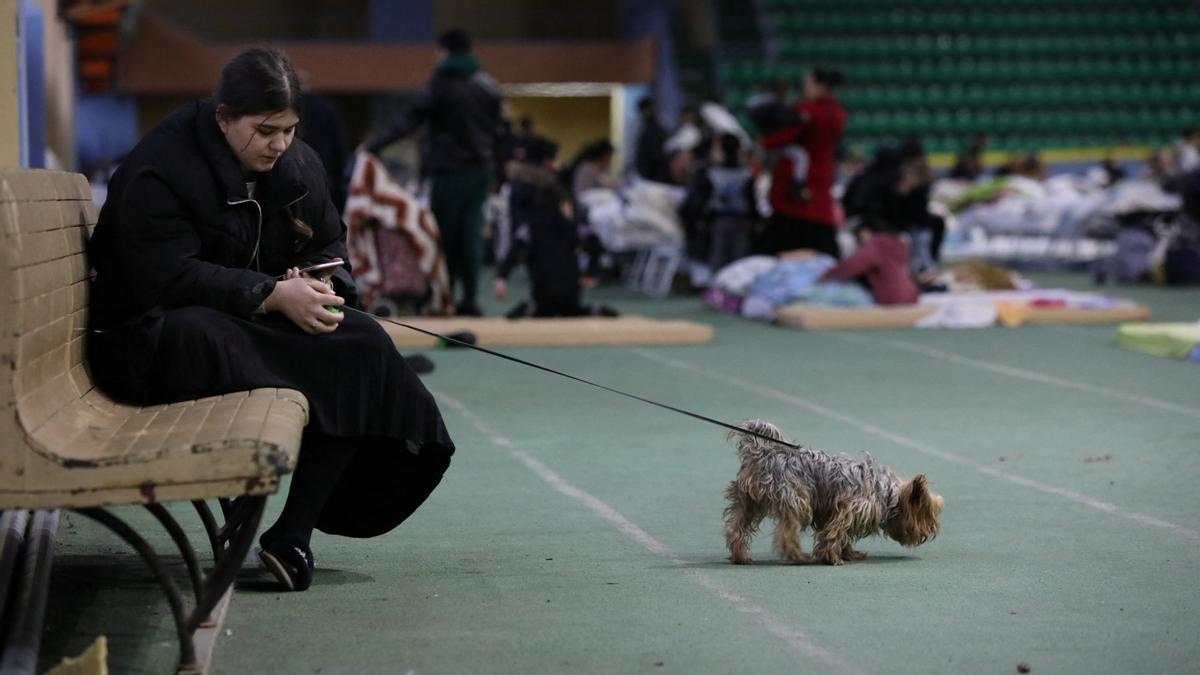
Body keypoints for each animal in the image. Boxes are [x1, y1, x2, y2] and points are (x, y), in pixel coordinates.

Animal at [720, 420, 945, 562]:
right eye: (928, 514)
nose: (933, 531)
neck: (886, 493)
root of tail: (765, 455)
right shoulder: (849, 509)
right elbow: (836, 533)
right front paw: (834, 558)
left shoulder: (829, 512)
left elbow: (838, 535)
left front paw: (848, 553)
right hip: (797, 501)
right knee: (785, 533)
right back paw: (798, 556)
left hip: (748, 502)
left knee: (735, 528)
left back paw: (740, 556)